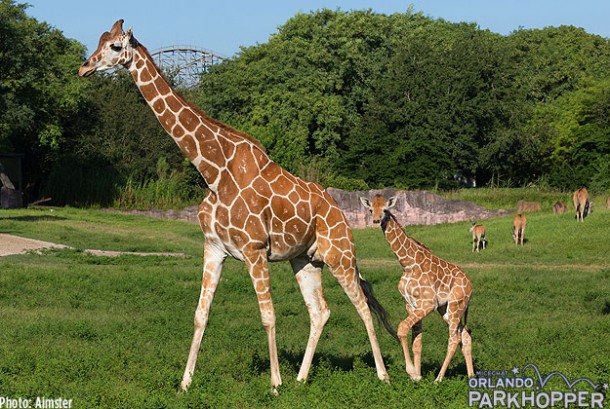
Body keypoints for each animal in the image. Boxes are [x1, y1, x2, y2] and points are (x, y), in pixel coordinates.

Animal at [78, 19, 392, 392]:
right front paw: (185, 383)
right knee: (320, 310)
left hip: (340, 255)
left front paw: (274, 384)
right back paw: (302, 378)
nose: (83, 67)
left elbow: (268, 316)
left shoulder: (255, 250)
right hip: (305, 259)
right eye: (99, 41)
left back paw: (383, 376)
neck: (214, 172)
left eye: (114, 47)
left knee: (362, 306)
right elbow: (200, 315)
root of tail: (340, 213)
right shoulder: (213, 248)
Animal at [358, 194, 472, 382]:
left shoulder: (428, 303)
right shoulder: (411, 304)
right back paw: (471, 376)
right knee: (465, 335)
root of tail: (471, 286)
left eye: (385, 210)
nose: (375, 221)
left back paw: (438, 379)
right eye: (370, 209)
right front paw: (417, 376)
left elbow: (402, 329)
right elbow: (417, 342)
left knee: (454, 339)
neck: (408, 263)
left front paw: (412, 372)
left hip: (456, 305)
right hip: (446, 309)